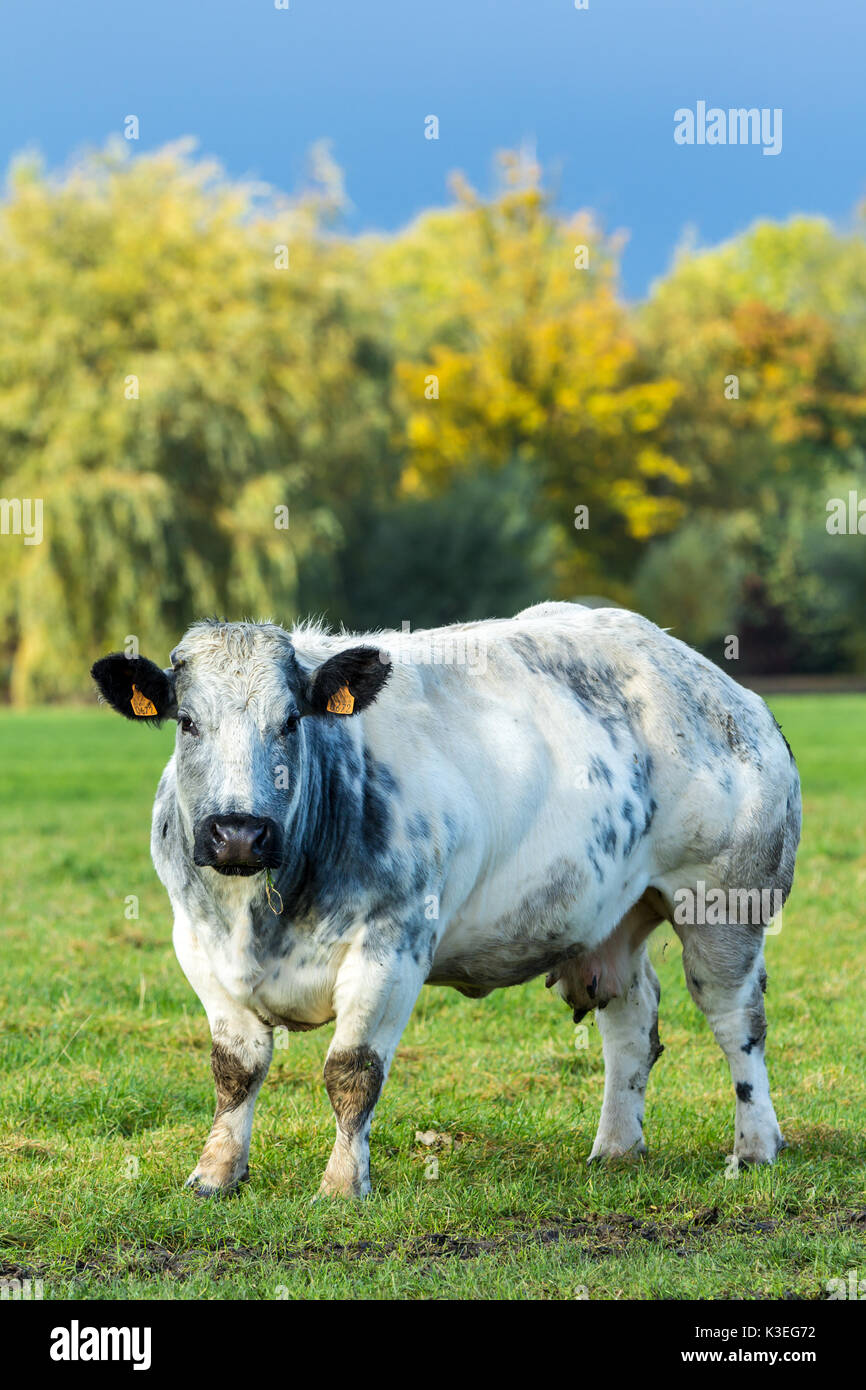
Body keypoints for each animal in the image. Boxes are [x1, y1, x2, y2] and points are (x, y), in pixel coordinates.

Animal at [91, 603, 800, 1200]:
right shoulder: (198, 947)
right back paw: (618, 1147)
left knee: (739, 1024)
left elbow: (351, 1072)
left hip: (725, 904)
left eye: (290, 721)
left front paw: (342, 1186)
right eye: (187, 722)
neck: (259, 918)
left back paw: (755, 1147)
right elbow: (235, 1070)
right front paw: (215, 1174)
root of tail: (722, 689)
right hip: (613, 917)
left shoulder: (391, 947)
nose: (238, 831)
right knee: (631, 1023)